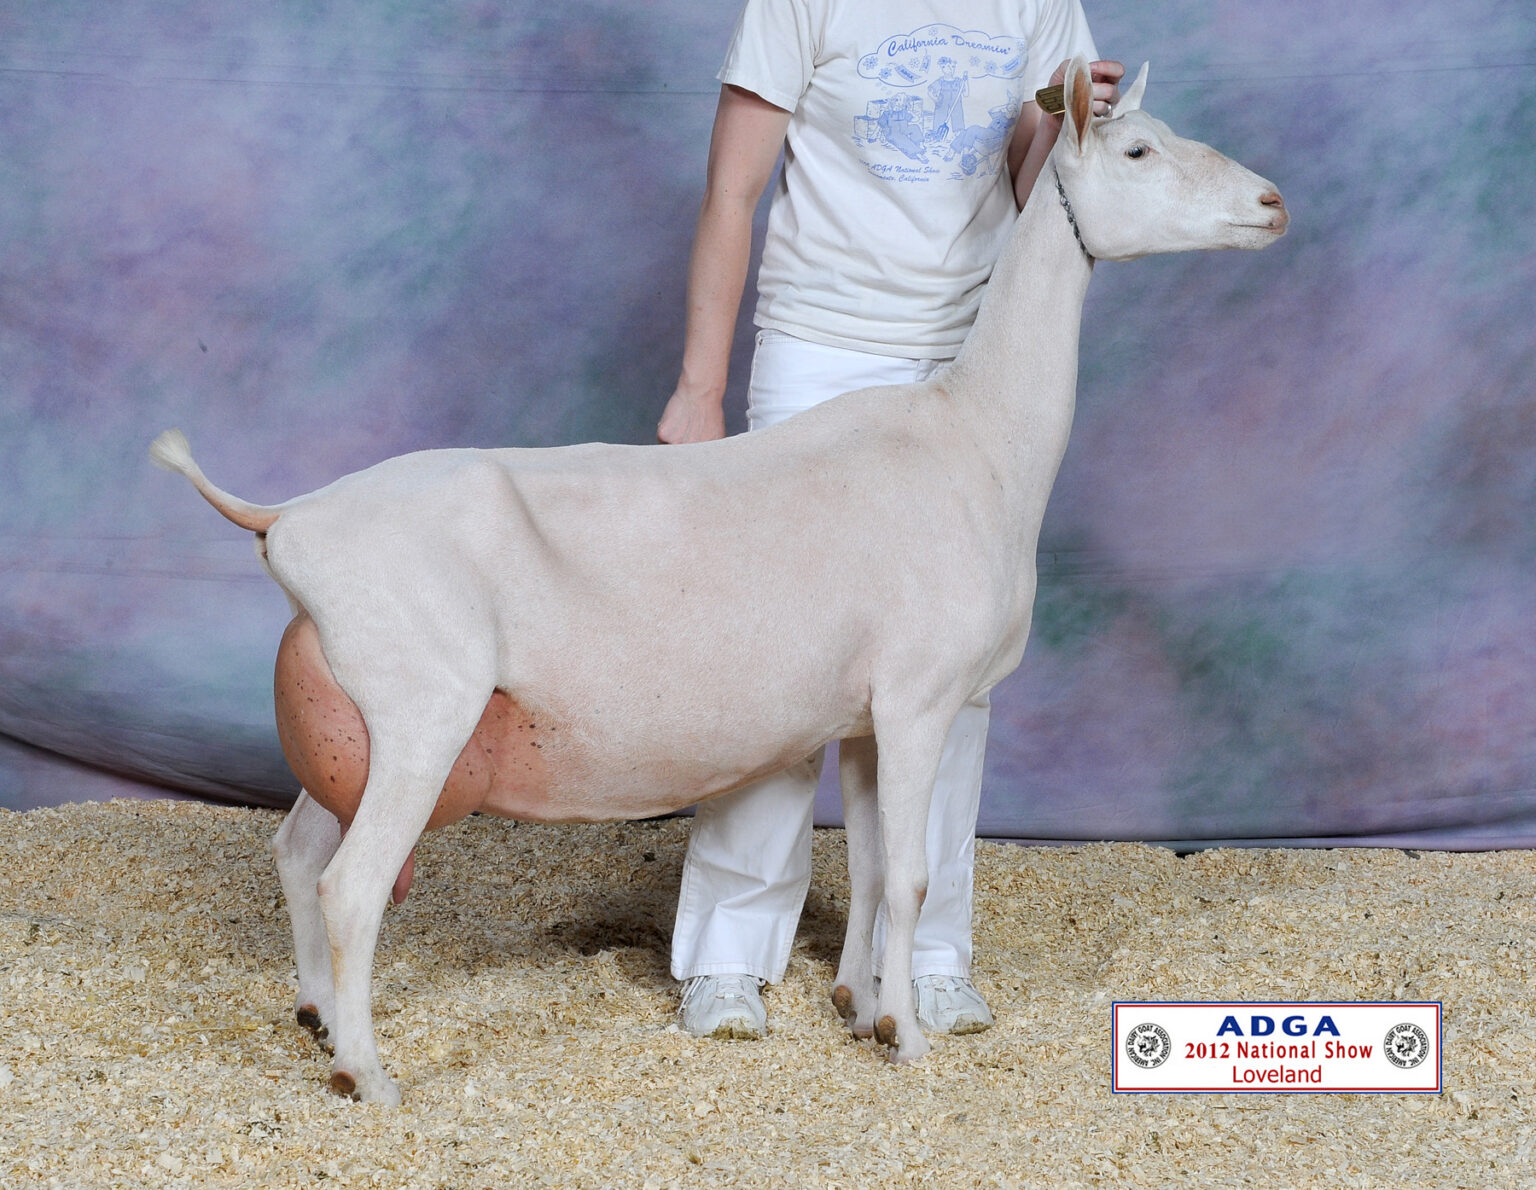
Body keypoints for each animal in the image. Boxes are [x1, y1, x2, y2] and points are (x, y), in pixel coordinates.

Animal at [151, 58, 1286, 1104]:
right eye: (1138, 151)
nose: (1273, 202)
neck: (976, 435)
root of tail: (287, 519)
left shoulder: (865, 714)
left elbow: (875, 867)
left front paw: (862, 1007)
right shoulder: (920, 696)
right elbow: (915, 874)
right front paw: (909, 1041)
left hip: (352, 713)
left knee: (297, 850)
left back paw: (313, 1019)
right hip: (422, 707)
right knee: (350, 885)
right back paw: (368, 1074)